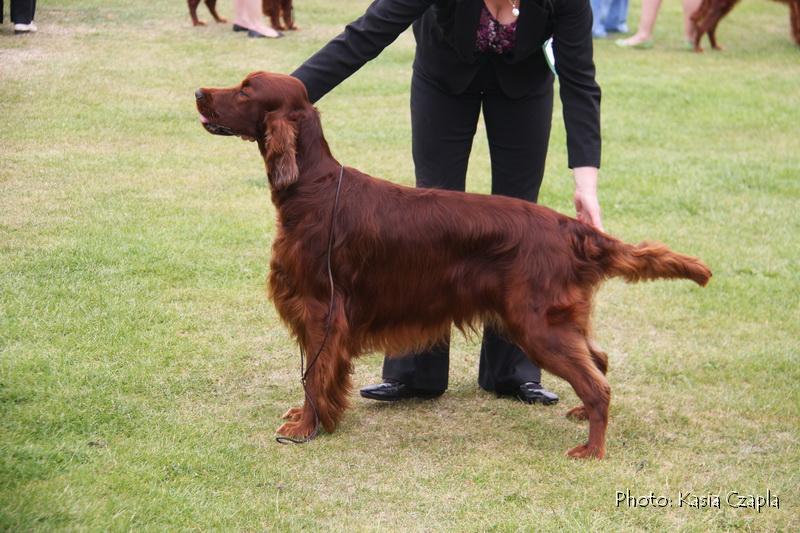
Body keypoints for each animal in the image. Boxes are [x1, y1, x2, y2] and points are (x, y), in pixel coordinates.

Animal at [195, 72, 712, 460]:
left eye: (246, 90)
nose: (199, 92)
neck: (313, 187)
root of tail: (570, 226)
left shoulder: (321, 309)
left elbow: (314, 376)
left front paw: (306, 427)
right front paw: (312, 420)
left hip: (536, 324)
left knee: (598, 383)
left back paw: (592, 449)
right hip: (559, 319)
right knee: (599, 363)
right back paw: (584, 417)